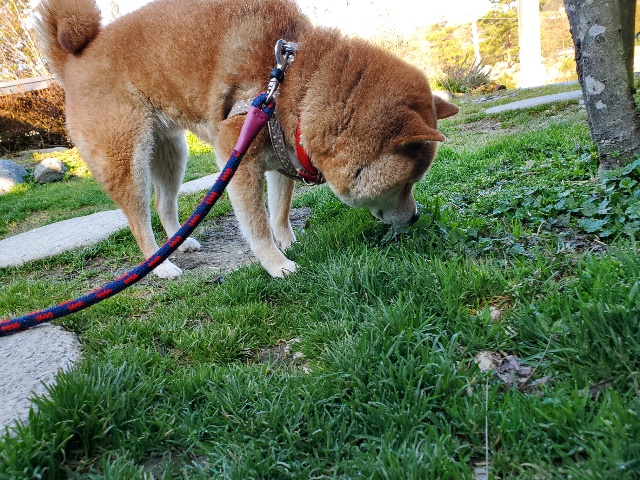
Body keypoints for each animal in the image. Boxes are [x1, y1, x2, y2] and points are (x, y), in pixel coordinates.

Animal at [36, 0, 458, 278]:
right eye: (407, 184)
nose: (416, 216)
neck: (294, 86)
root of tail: (74, 58)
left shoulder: (282, 155)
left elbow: (280, 210)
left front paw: (288, 242)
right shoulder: (236, 156)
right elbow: (257, 225)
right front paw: (278, 265)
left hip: (171, 151)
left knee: (163, 203)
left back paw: (179, 243)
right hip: (128, 157)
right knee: (138, 218)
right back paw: (161, 267)